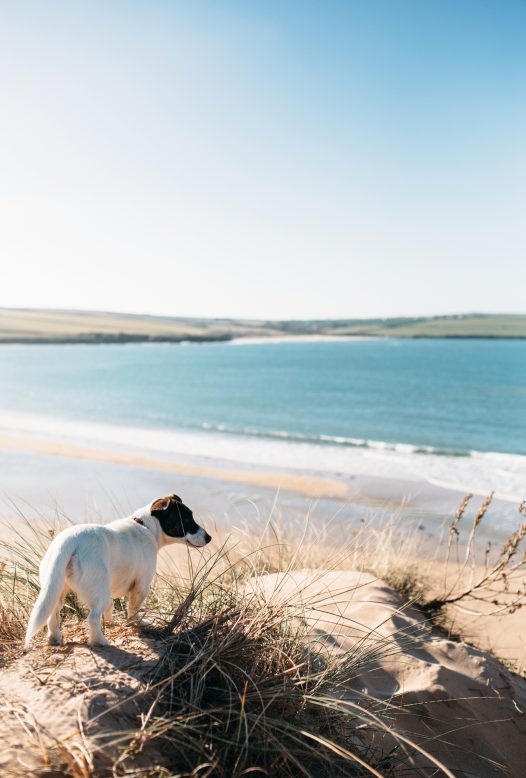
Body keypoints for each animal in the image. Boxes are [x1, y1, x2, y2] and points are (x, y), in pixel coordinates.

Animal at [23, 494, 212, 644]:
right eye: (186, 520)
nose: (209, 538)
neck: (146, 527)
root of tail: (68, 542)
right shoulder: (141, 586)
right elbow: (133, 609)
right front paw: (135, 623)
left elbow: (111, 608)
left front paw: (110, 622)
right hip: (98, 590)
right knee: (92, 618)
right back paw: (100, 641)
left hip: (58, 589)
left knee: (52, 615)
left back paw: (54, 638)